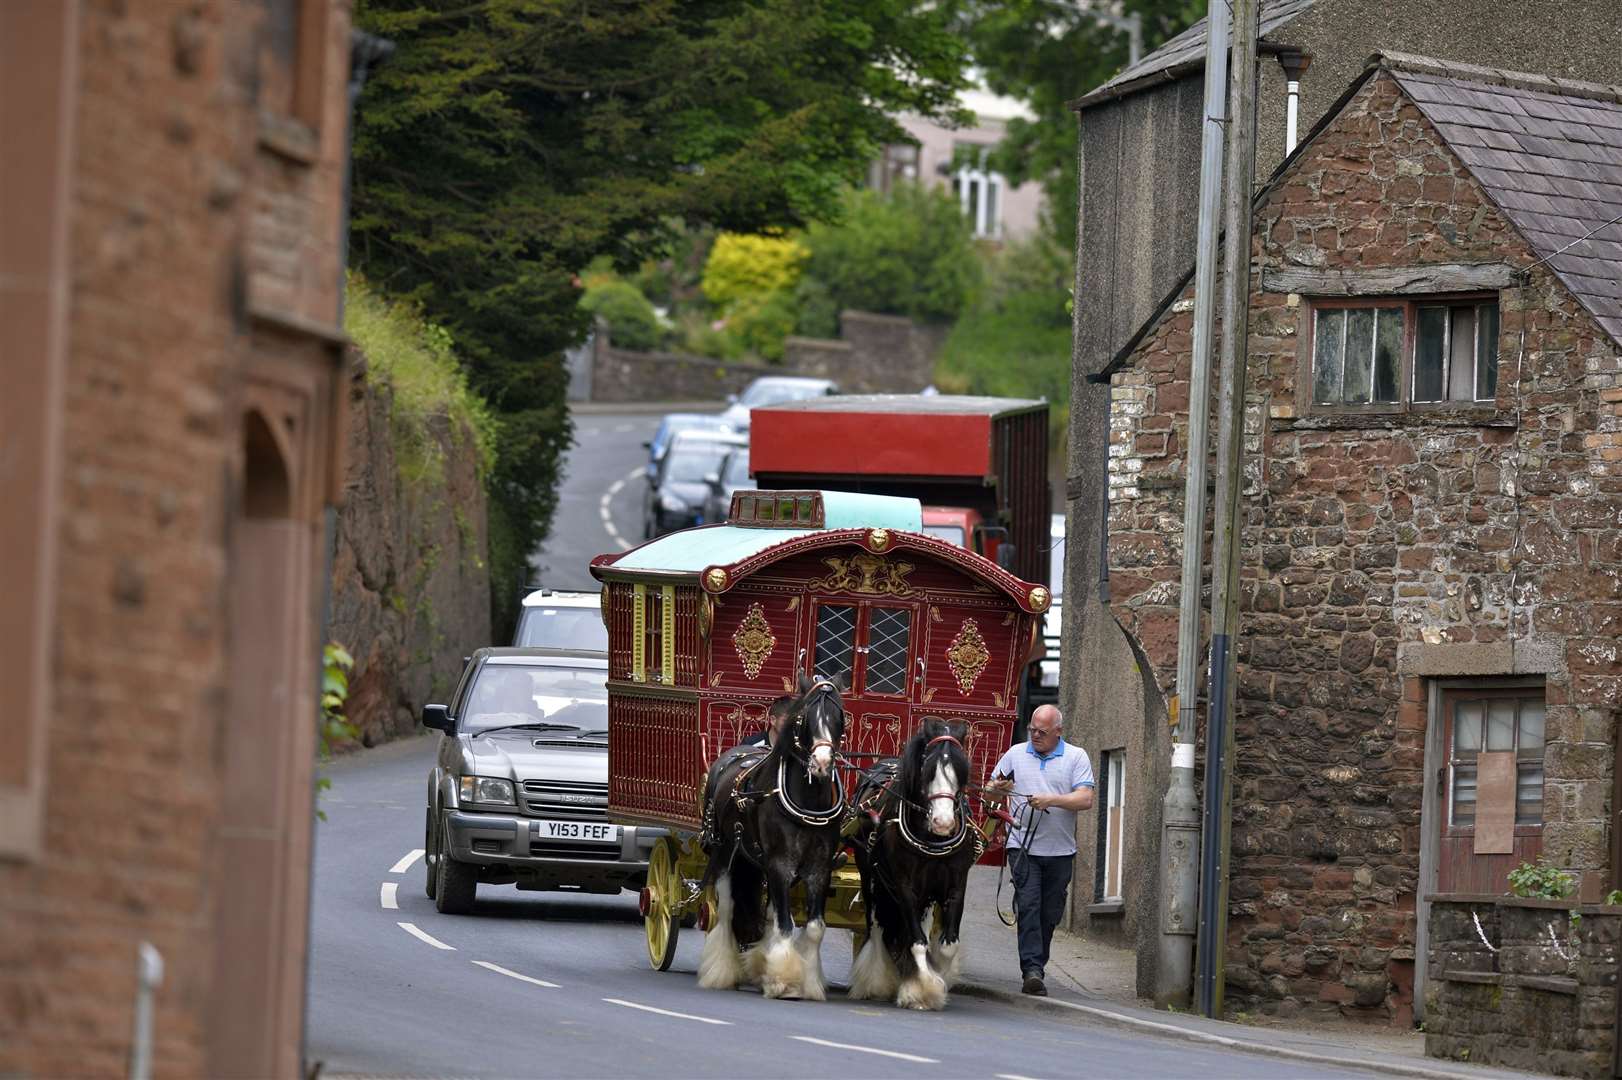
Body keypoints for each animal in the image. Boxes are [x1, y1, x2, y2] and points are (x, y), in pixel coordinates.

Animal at [694, 668, 849, 998]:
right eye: (805, 717)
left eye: (838, 716)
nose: (822, 763)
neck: (807, 804)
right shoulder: (780, 864)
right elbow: (786, 925)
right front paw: (784, 981)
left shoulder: (819, 869)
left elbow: (813, 928)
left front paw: (808, 982)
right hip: (724, 853)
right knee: (726, 909)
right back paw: (721, 971)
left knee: (764, 912)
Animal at [849, 713, 973, 1011]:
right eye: (928, 770)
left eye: (961, 771)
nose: (943, 823)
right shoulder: (904, 885)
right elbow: (916, 941)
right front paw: (922, 990)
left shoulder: (955, 886)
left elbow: (947, 945)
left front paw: (937, 976)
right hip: (872, 880)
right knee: (877, 927)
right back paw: (876, 981)